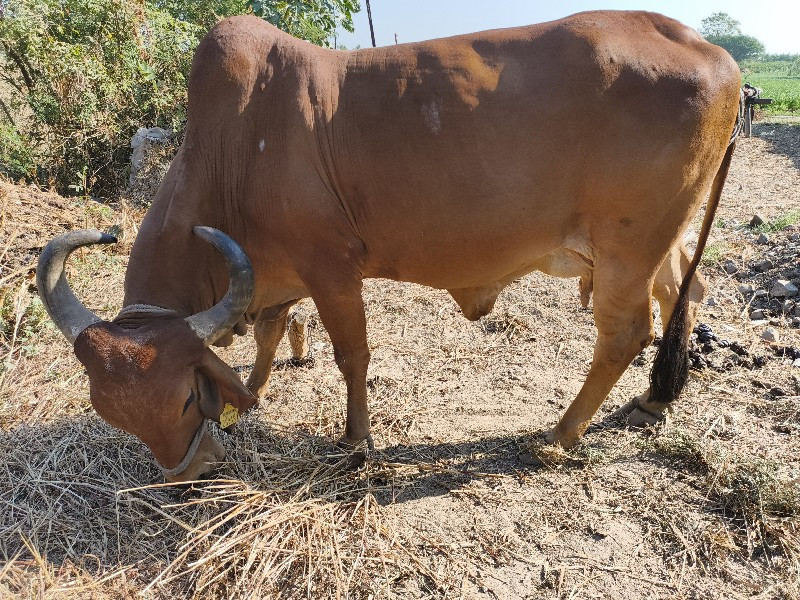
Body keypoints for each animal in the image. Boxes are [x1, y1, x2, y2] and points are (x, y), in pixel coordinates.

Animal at [37, 10, 740, 482]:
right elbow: (269, 330)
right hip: (658, 245)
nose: (188, 472)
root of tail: (719, 55)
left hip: (626, 250)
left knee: (625, 333)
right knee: (685, 290)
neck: (233, 151)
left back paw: (563, 432)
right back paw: (654, 398)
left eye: (184, 397)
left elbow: (351, 354)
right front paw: (259, 388)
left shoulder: (331, 268)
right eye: (109, 412)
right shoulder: (272, 274)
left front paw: (355, 440)